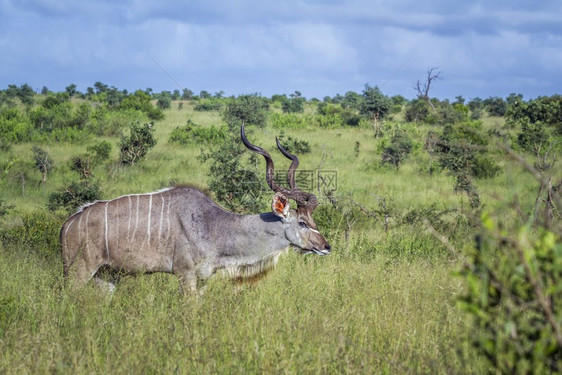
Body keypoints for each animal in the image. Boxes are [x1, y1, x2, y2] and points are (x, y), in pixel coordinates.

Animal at [61, 125, 330, 296]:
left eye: (313, 220)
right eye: (302, 222)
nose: (326, 247)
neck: (214, 225)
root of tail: (68, 224)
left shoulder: (203, 279)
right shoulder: (185, 275)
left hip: (104, 277)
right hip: (78, 272)